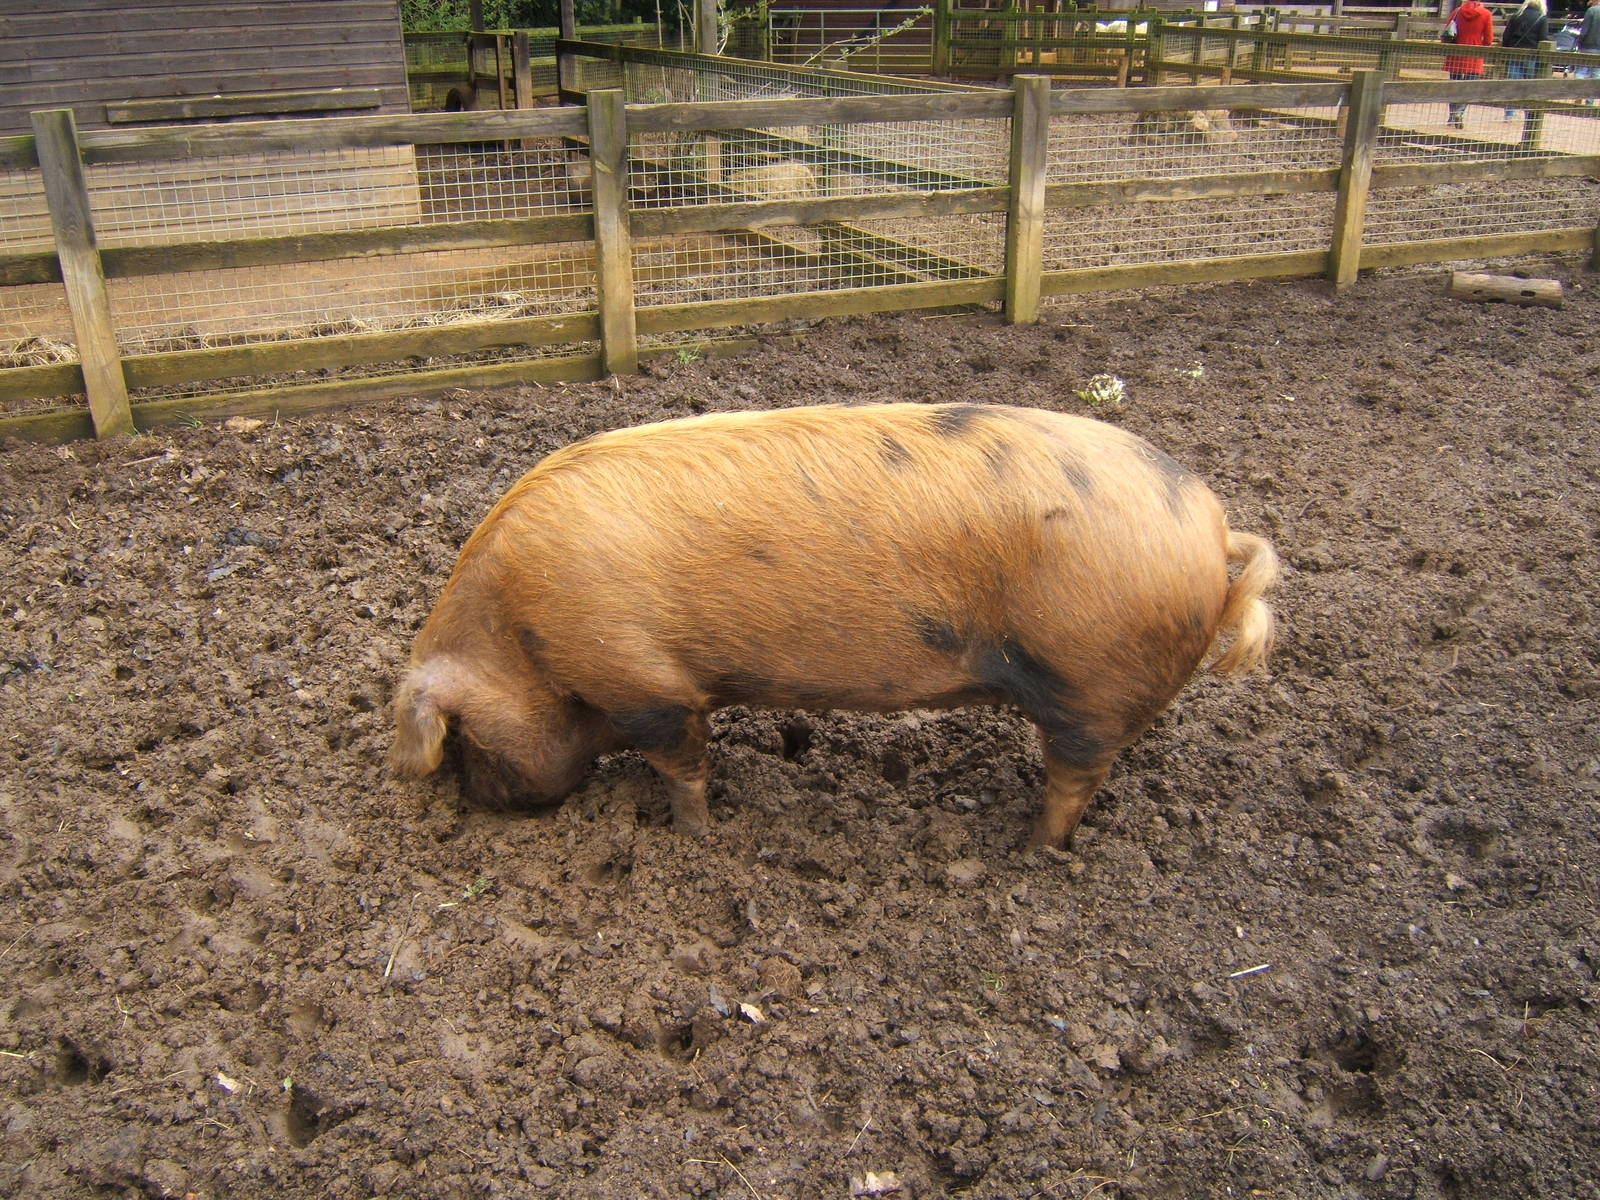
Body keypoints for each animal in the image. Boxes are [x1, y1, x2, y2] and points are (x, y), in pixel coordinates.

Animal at [391, 402, 1278, 848]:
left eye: (461, 737)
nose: (483, 806)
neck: (518, 633)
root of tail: (1213, 528)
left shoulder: (646, 684)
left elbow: (682, 765)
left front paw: (694, 838)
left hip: (1093, 685)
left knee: (1076, 780)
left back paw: (1030, 851)